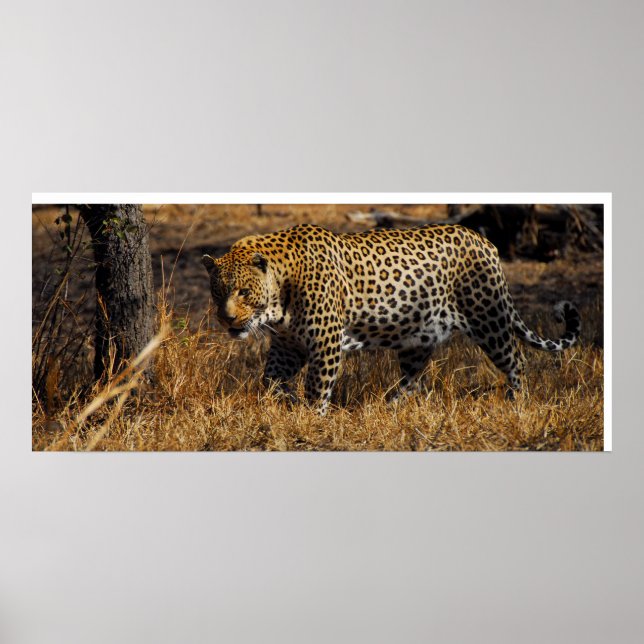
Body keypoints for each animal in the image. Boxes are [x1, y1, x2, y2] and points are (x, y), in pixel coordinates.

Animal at [202, 223, 580, 414]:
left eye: (243, 292)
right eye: (217, 293)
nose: (227, 320)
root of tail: (484, 240)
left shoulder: (325, 343)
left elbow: (317, 387)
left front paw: (311, 420)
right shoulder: (287, 346)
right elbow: (271, 380)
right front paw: (279, 405)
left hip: (490, 318)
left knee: (517, 359)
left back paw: (518, 404)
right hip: (418, 337)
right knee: (412, 377)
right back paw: (390, 407)